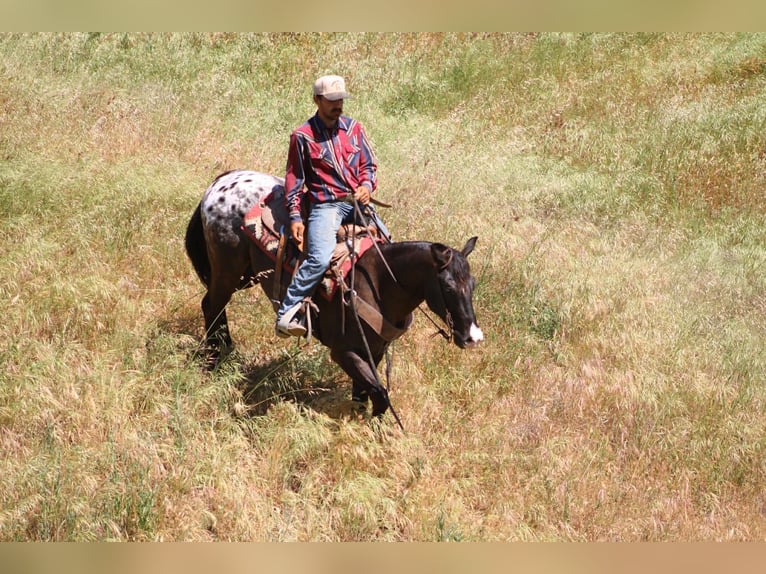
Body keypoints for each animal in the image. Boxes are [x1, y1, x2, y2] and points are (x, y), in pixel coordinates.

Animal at [184, 170, 483, 417]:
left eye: (473, 284)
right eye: (448, 286)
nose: (473, 338)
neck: (379, 284)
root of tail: (221, 181)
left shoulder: (374, 351)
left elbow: (364, 395)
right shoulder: (343, 352)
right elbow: (380, 396)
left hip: (243, 275)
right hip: (228, 272)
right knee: (212, 306)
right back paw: (216, 360)